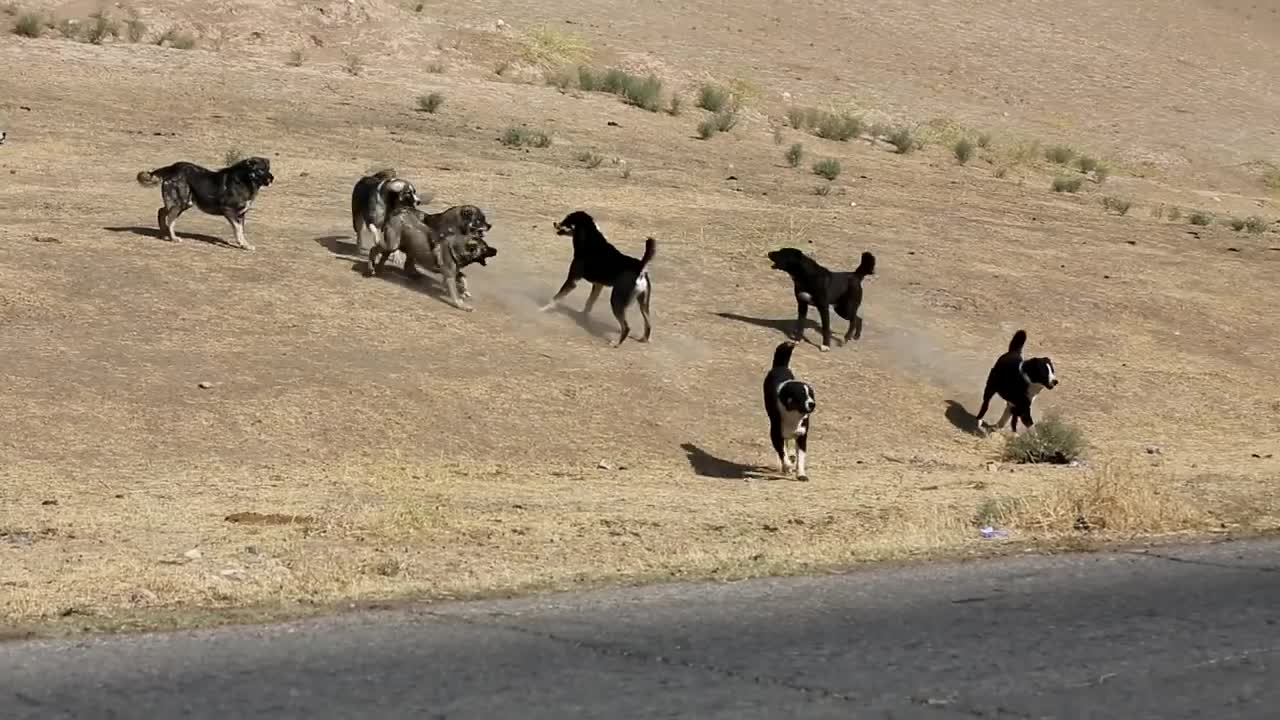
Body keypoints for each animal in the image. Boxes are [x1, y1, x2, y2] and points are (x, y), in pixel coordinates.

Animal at [135, 155, 275, 248]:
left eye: (268, 169)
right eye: (260, 170)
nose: (272, 178)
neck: (245, 181)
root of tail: (172, 167)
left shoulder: (241, 214)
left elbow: (241, 230)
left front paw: (244, 244)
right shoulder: (228, 210)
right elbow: (237, 228)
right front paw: (241, 243)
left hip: (184, 203)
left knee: (162, 212)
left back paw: (164, 233)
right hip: (181, 203)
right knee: (170, 219)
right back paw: (173, 238)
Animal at [542, 208, 660, 345]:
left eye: (567, 220)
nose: (554, 223)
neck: (590, 241)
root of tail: (640, 267)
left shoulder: (572, 280)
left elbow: (556, 298)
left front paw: (542, 309)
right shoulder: (598, 285)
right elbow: (589, 303)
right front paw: (583, 316)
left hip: (616, 300)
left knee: (626, 327)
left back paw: (616, 343)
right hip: (643, 303)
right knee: (648, 324)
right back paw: (643, 339)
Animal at [762, 338, 814, 479]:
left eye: (811, 395)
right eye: (801, 396)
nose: (812, 404)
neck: (793, 415)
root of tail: (780, 367)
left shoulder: (801, 436)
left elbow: (800, 458)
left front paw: (801, 474)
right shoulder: (775, 435)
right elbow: (783, 454)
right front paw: (788, 466)